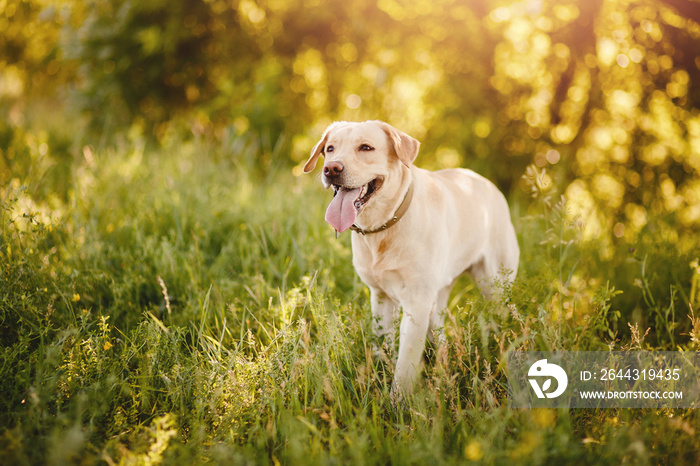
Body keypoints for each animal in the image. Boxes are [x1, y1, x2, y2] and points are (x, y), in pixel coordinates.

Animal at [302, 119, 520, 396]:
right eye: (330, 149)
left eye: (365, 147)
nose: (331, 168)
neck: (384, 226)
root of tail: (487, 183)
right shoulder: (381, 297)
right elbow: (381, 345)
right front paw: (378, 378)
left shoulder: (416, 303)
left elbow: (405, 365)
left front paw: (398, 402)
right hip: (438, 296)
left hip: (494, 287)